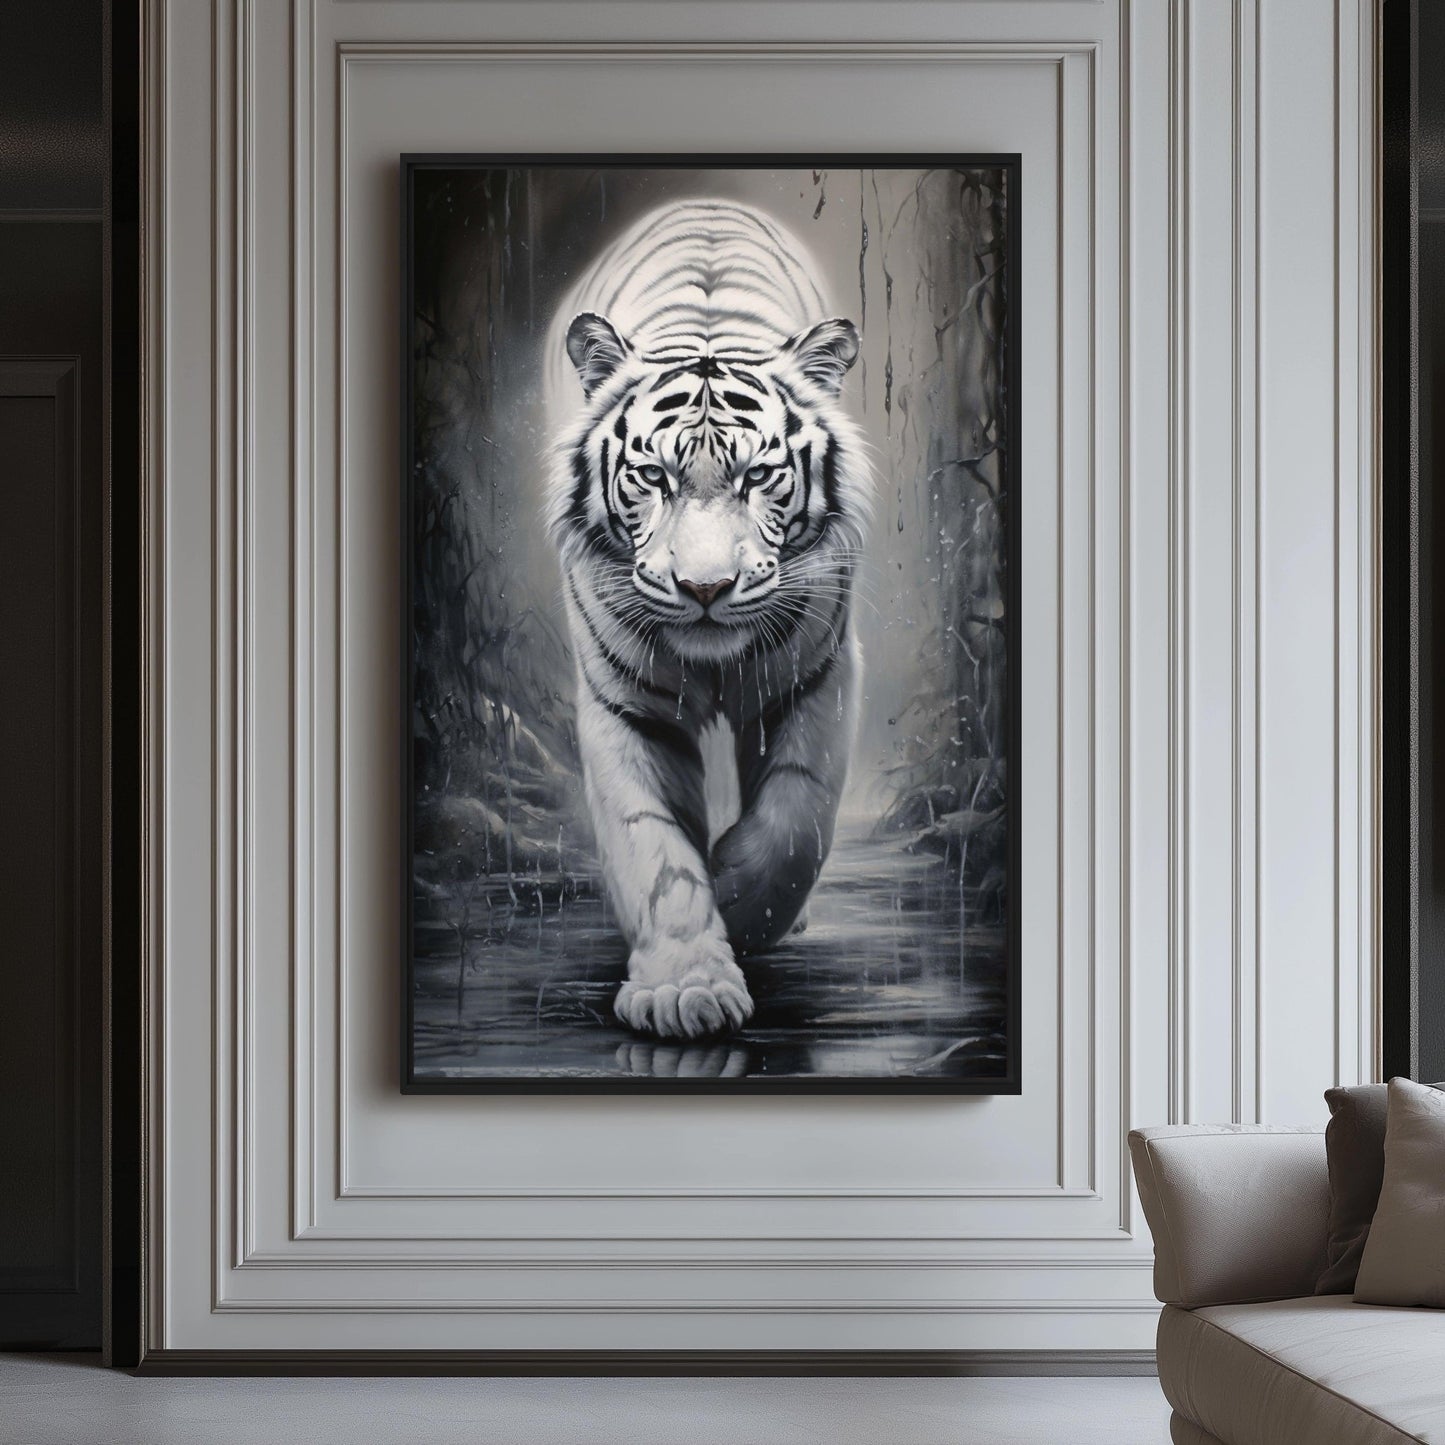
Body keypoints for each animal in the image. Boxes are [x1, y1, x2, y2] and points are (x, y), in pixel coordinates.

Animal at [545, 198, 870, 1040]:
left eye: (757, 476)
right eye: (651, 476)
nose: (703, 587)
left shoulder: (817, 675)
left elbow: (793, 822)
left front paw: (735, 900)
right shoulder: (626, 704)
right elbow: (654, 848)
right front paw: (684, 985)